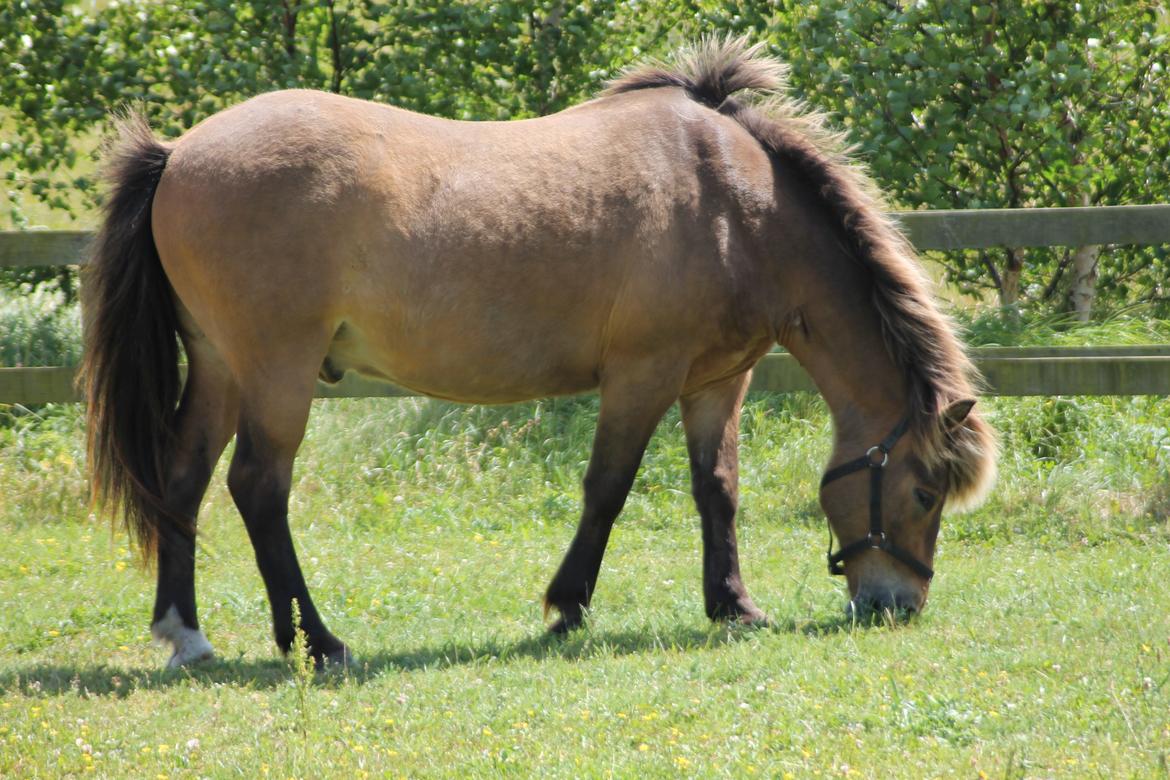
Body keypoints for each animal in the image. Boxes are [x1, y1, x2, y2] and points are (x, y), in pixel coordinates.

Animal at [82, 39, 996, 668]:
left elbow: (718, 491)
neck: (738, 207)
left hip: (221, 365)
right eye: (923, 492)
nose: (898, 604)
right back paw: (318, 641)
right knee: (258, 489)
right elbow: (607, 490)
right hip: (277, 370)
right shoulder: (641, 375)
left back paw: (186, 634)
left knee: (183, 482)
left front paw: (733, 605)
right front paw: (568, 606)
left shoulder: (716, 382)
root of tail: (178, 152)